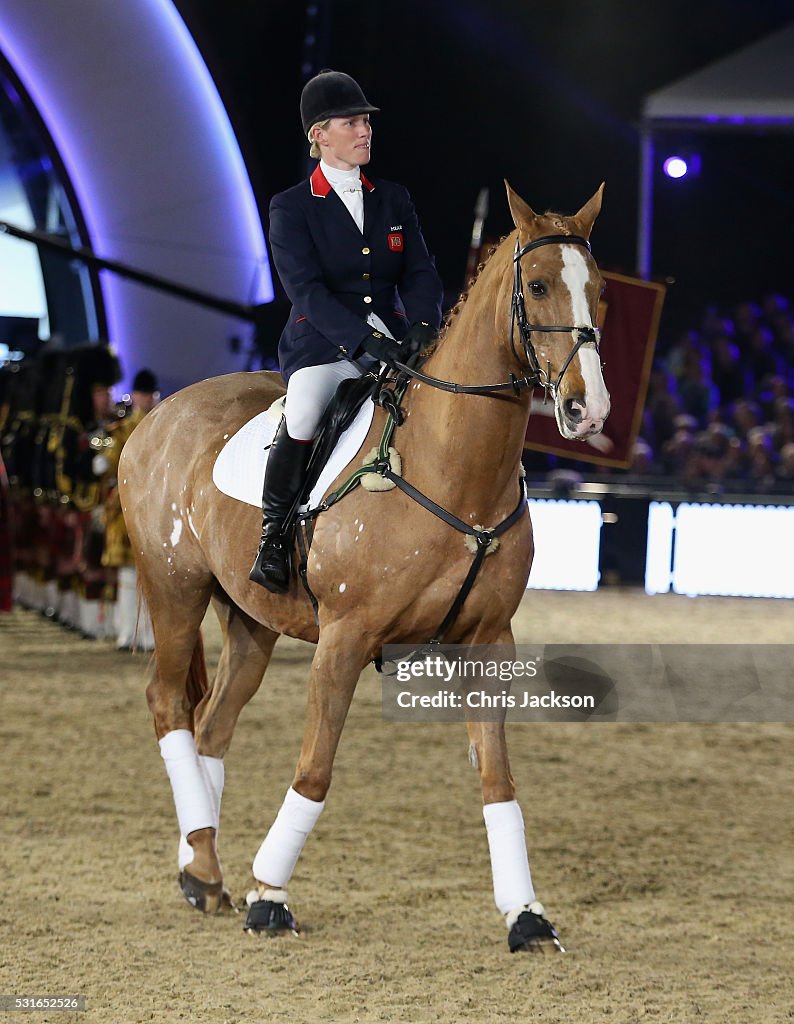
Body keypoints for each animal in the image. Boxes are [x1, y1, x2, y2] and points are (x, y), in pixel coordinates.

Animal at [120, 182, 610, 950]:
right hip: (175, 587)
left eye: (603, 292)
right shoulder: (345, 640)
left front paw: (526, 915)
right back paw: (206, 867)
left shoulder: (489, 643)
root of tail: (159, 415)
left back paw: (202, 868)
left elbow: (498, 782)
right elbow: (316, 771)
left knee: (213, 724)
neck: (453, 470)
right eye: (536, 285)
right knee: (170, 705)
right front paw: (271, 896)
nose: (587, 409)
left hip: (252, 621)